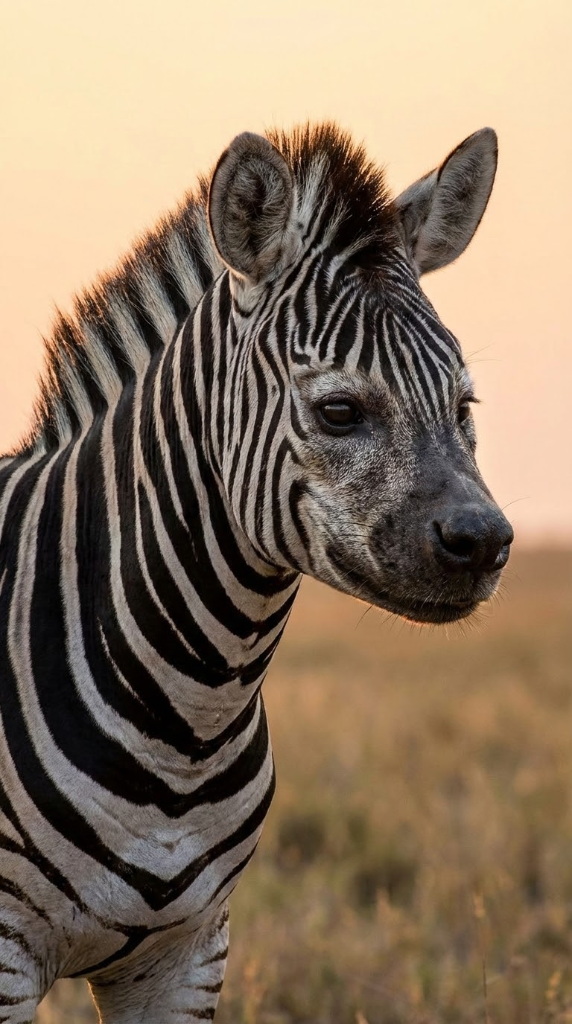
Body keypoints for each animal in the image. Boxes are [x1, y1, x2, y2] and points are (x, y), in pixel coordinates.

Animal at [0, 122, 512, 1022]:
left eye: (464, 407)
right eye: (339, 411)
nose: (485, 544)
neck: (187, 717)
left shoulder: (187, 954)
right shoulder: (4, 953)